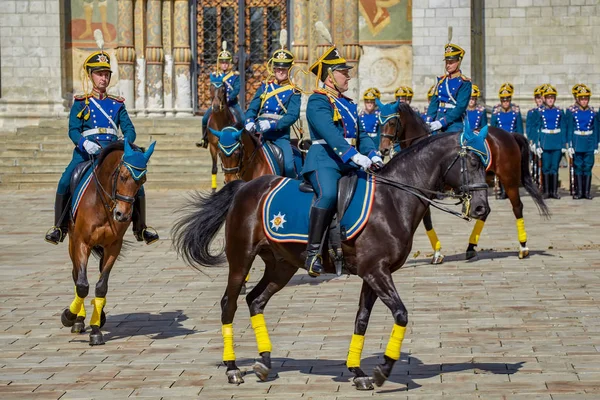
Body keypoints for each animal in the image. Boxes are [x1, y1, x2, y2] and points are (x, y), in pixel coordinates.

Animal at [59, 141, 155, 346]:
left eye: (142, 180)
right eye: (123, 176)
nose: (122, 215)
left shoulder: (113, 246)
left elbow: (101, 285)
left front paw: (96, 329)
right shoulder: (81, 243)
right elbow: (82, 285)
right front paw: (69, 316)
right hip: (72, 243)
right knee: (76, 276)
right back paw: (78, 321)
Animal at [171, 130, 490, 390]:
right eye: (474, 163)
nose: (481, 208)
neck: (392, 199)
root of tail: (244, 187)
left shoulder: (373, 273)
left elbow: (361, 319)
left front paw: (358, 371)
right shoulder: (376, 272)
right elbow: (401, 314)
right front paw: (382, 370)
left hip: (281, 266)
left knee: (256, 300)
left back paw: (263, 362)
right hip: (241, 259)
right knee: (230, 303)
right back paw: (233, 368)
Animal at [380, 102, 548, 262]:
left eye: (392, 122)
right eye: (380, 122)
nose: (383, 150)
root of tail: (509, 134)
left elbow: (426, 220)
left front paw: (437, 252)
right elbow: (426, 219)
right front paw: (437, 251)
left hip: (509, 179)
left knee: (517, 207)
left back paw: (523, 247)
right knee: (485, 211)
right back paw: (471, 247)